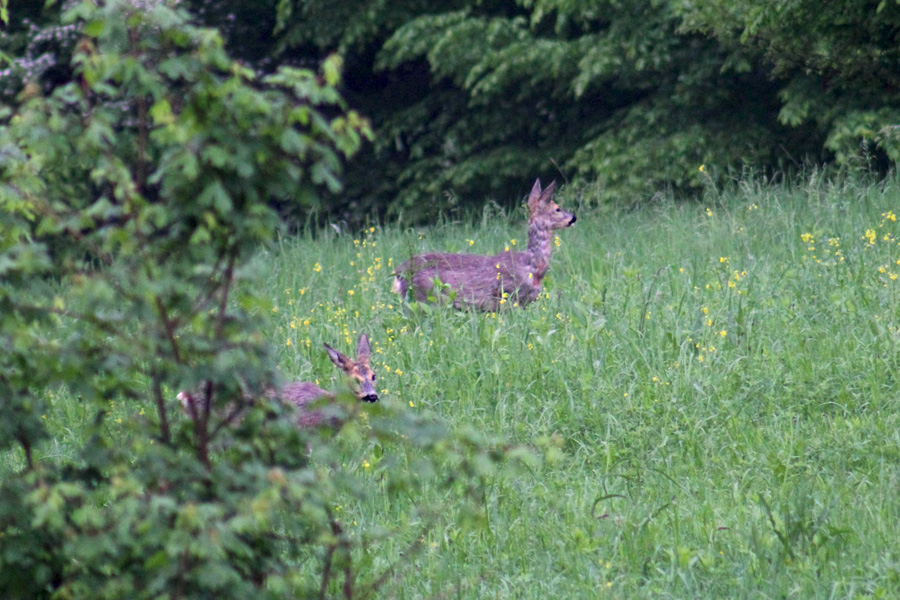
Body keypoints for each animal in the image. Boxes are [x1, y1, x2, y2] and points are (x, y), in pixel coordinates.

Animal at [392, 178, 576, 312]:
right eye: (558, 208)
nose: (573, 217)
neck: (532, 266)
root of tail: (399, 272)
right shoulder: (507, 296)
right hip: (426, 298)